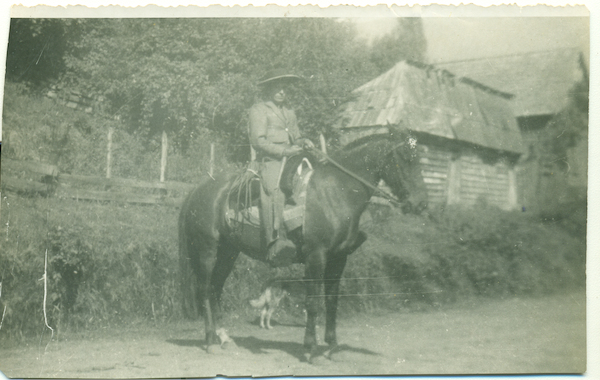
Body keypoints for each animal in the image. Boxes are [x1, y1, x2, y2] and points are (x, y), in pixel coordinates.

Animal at [178, 131, 426, 362]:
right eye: (405, 158)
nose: (419, 203)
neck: (335, 193)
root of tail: (198, 189)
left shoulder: (338, 259)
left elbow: (331, 301)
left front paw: (331, 346)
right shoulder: (316, 257)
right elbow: (313, 302)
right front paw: (311, 349)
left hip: (228, 253)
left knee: (215, 289)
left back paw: (224, 338)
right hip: (208, 251)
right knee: (205, 290)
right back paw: (210, 340)